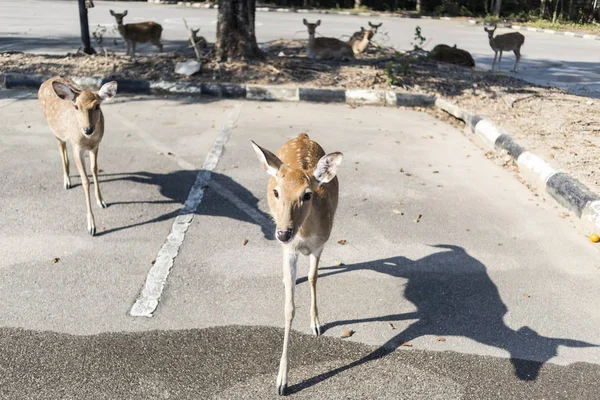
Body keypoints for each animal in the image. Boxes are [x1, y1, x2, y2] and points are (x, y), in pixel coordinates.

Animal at [38, 76, 118, 236]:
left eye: (97, 106)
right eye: (76, 107)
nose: (88, 129)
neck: (87, 140)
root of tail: (47, 81)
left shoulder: (96, 146)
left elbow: (94, 170)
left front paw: (101, 201)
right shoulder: (77, 148)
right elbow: (85, 181)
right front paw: (92, 226)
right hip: (55, 130)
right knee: (61, 149)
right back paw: (67, 181)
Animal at [248, 134, 342, 394]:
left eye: (307, 194)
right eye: (277, 192)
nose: (283, 233)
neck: (305, 235)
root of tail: (302, 136)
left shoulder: (321, 244)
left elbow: (313, 278)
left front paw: (316, 324)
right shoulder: (290, 251)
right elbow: (289, 308)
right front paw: (282, 381)